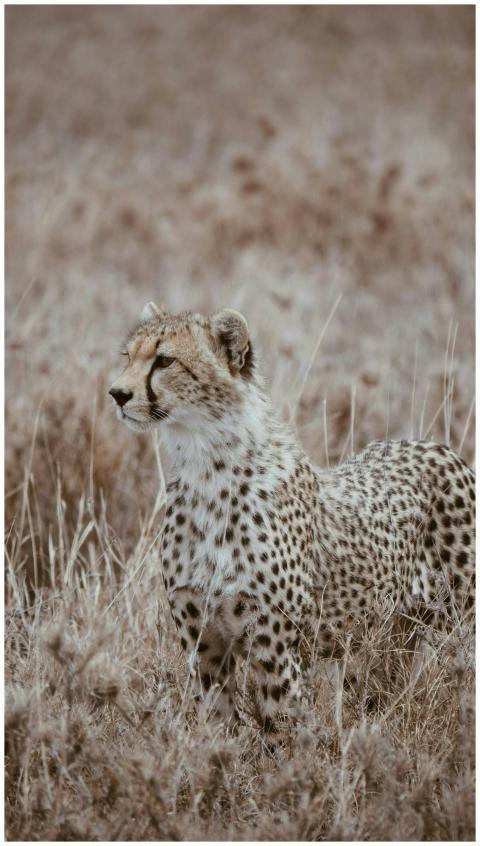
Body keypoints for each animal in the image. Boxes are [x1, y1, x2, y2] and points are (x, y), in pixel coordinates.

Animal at [109, 301, 475, 736]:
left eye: (165, 360)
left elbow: (284, 728)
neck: (206, 466)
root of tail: (434, 445)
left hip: (461, 623)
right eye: (128, 356)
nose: (117, 393)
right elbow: (217, 725)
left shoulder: (276, 645)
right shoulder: (205, 645)